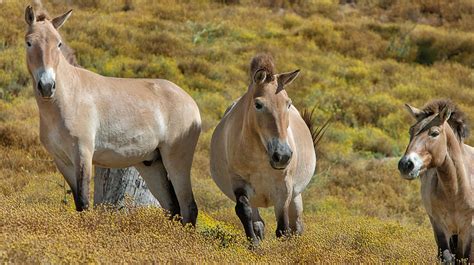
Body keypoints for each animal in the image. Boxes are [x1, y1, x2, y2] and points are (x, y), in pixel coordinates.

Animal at [23, 6, 201, 224]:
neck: (69, 97)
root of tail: (190, 102)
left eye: (58, 43)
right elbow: (78, 203)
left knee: (189, 208)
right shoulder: (62, 161)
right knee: (173, 208)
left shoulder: (83, 154)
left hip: (177, 161)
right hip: (152, 165)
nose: (47, 86)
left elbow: (84, 203)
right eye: (29, 42)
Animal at [211, 54, 318, 245]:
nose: (282, 156)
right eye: (258, 105)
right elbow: (244, 211)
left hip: (296, 195)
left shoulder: (284, 189)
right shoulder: (238, 182)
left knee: (297, 226)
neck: (259, 159)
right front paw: (254, 246)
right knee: (258, 222)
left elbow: (283, 228)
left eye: (288, 104)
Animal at [398, 99, 472, 262]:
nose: (405, 164)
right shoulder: (440, 226)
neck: (455, 191)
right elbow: (447, 258)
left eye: (434, 133)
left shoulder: (469, 229)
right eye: (411, 131)